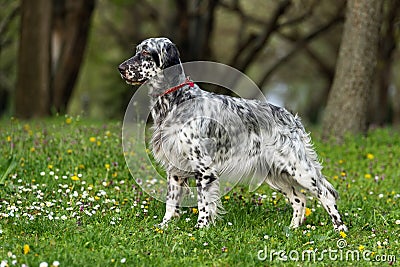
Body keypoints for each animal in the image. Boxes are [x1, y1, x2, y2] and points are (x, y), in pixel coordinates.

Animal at [118, 36, 346, 232]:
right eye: (136, 51)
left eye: (146, 52)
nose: (120, 68)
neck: (176, 100)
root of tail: (290, 116)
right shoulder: (175, 169)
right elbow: (171, 203)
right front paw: (164, 226)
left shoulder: (204, 169)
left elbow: (204, 203)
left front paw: (201, 229)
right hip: (275, 173)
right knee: (299, 199)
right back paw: (293, 229)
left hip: (299, 169)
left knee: (326, 194)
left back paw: (340, 229)